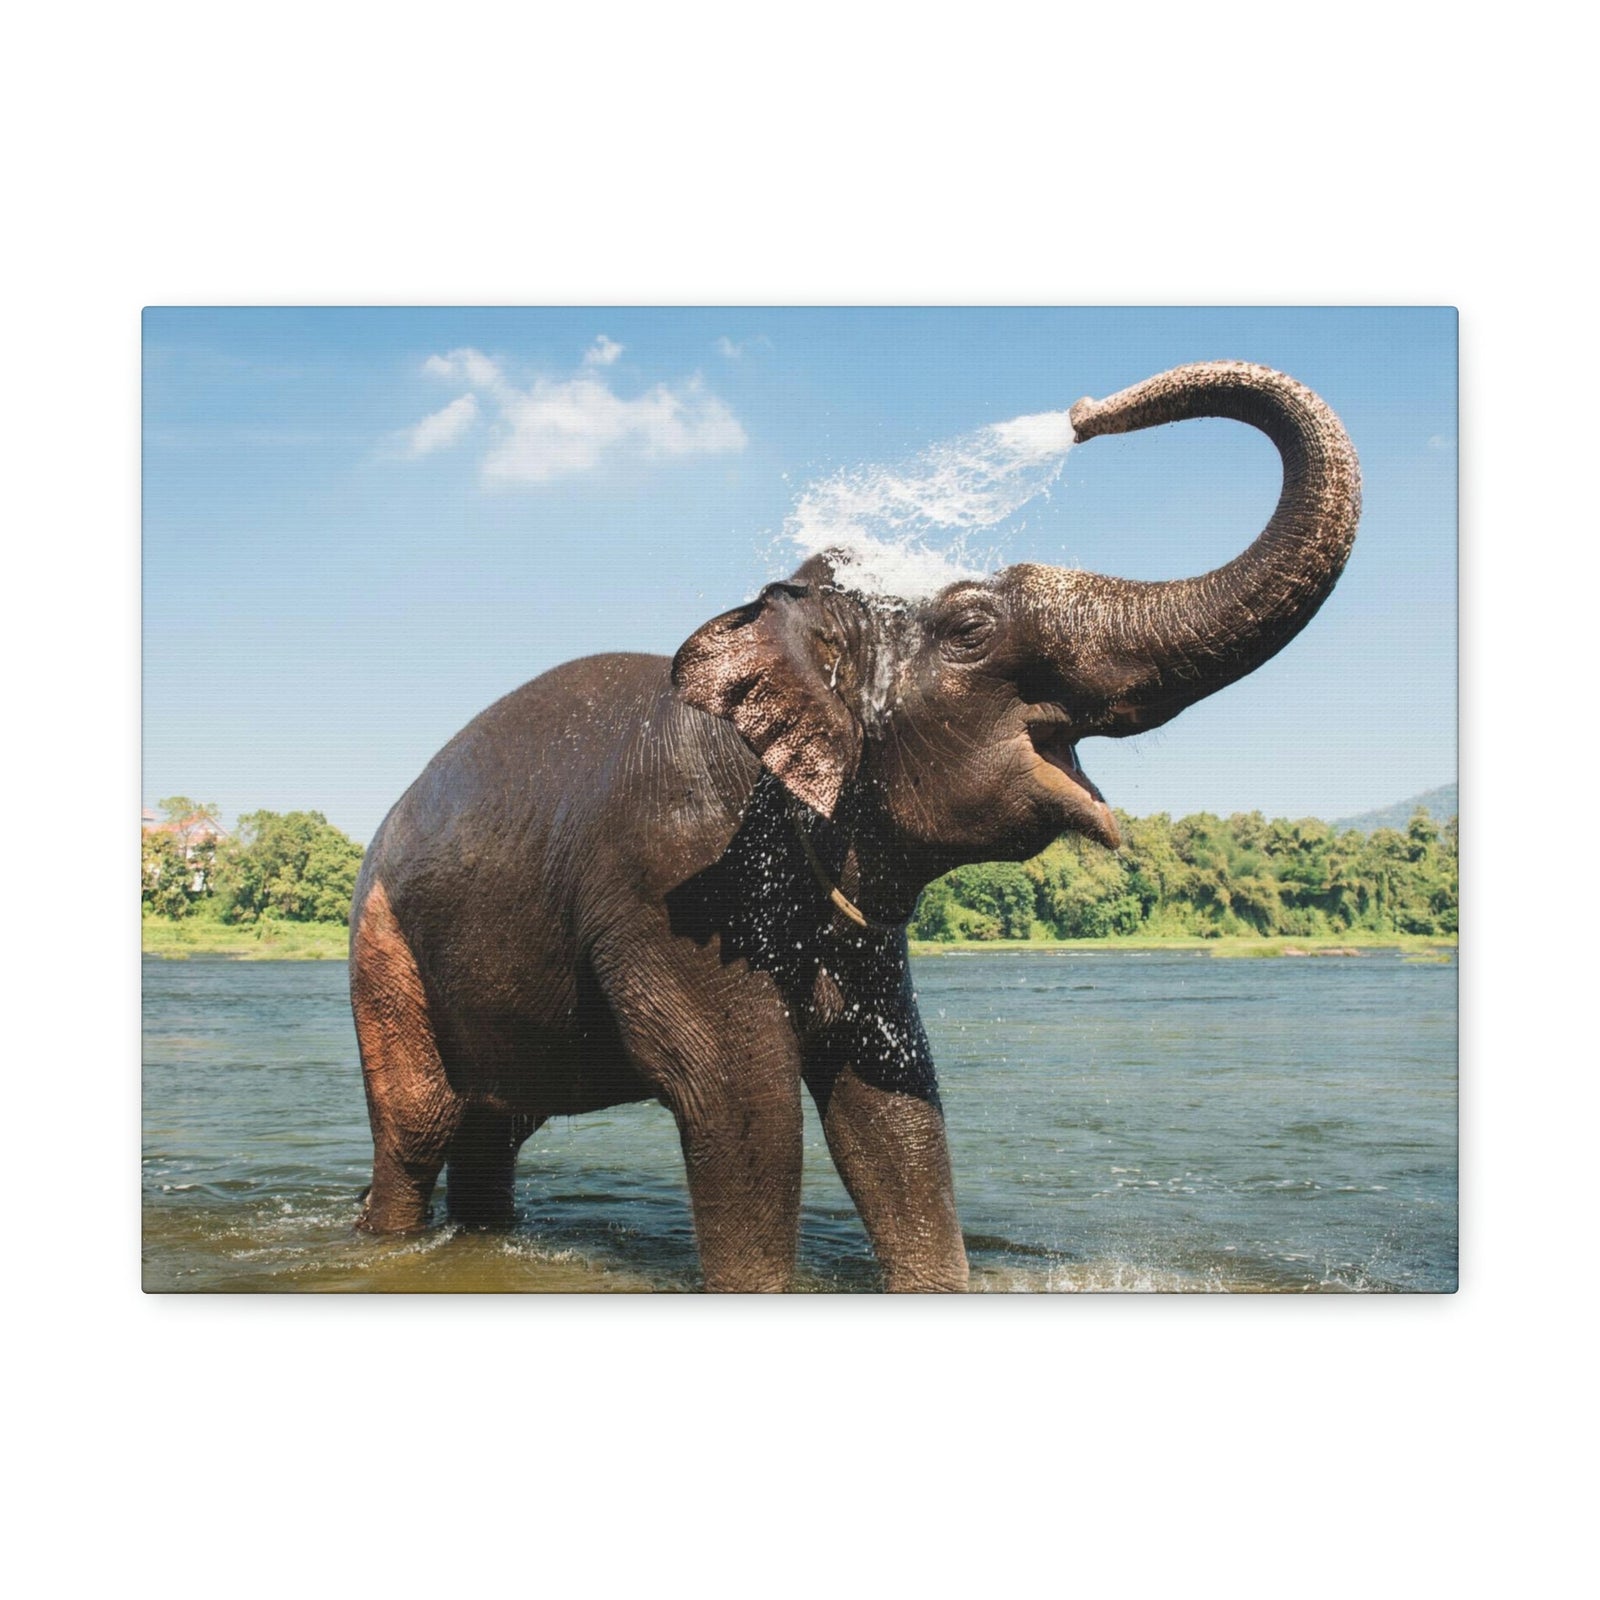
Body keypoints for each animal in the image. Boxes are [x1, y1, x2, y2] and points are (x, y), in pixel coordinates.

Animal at [350, 360, 1361, 1291]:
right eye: (970, 627)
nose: (1081, 413)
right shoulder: (671, 879)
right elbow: (741, 1103)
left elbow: (890, 1103)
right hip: (382, 952)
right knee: (419, 1129)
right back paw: (386, 1238)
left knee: (492, 1131)